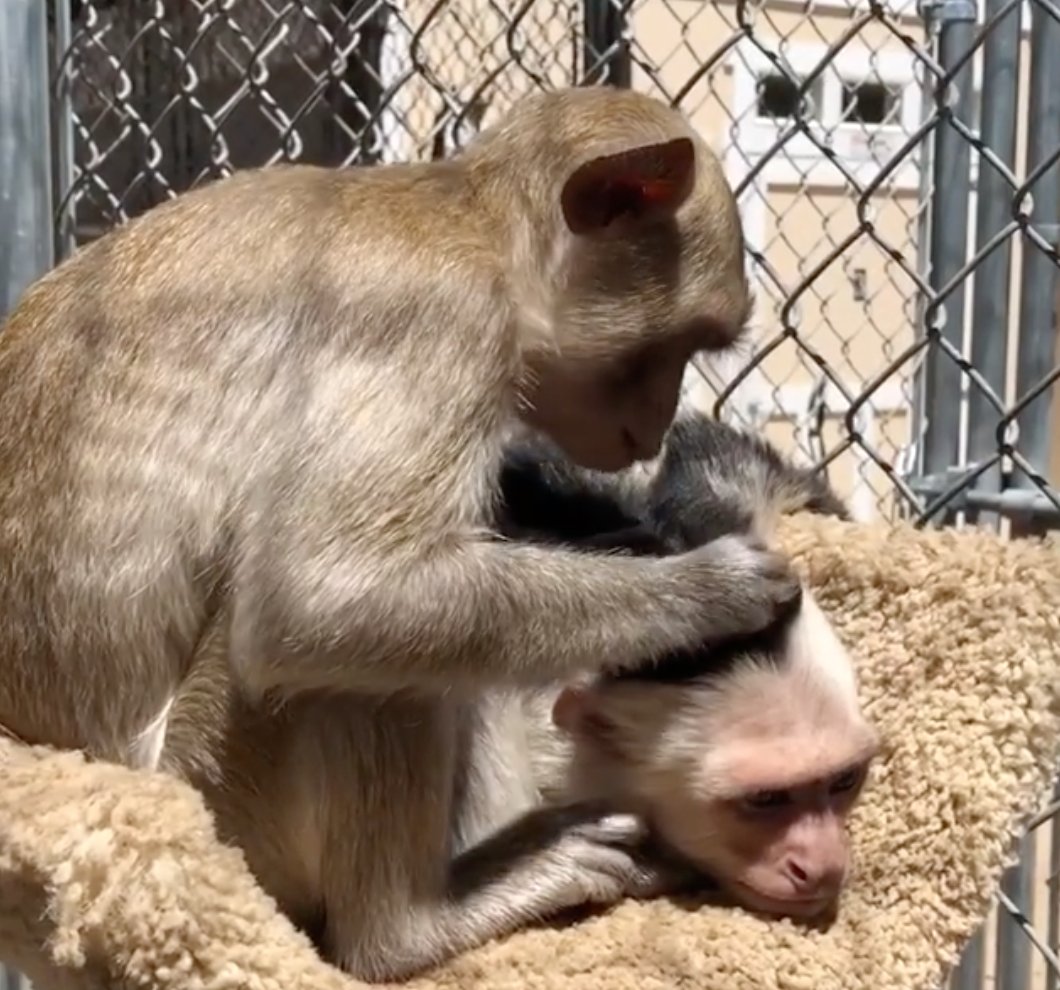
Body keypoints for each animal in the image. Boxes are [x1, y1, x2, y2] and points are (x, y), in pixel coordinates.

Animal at [0, 86, 803, 983]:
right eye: (675, 346)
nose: (658, 425)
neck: (472, 220)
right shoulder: (437, 323)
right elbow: (313, 599)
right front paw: (707, 592)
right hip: (221, 802)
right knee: (348, 666)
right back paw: (408, 931)